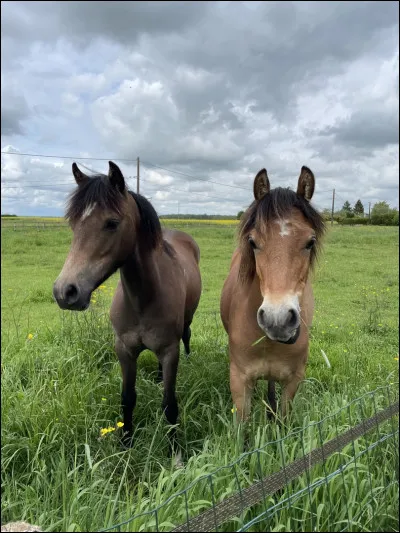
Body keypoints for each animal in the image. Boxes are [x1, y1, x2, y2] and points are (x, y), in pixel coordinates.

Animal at [53, 160, 202, 456]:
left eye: (111, 223)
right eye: (73, 223)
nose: (65, 292)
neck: (143, 299)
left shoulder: (170, 351)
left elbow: (169, 404)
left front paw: (175, 452)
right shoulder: (124, 349)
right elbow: (127, 398)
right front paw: (125, 444)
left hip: (186, 325)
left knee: (187, 336)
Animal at [220, 165, 326, 420]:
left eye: (310, 242)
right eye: (253, 242)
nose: (277, 319)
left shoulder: (293, 382)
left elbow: (284, 420)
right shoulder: (239, 381)